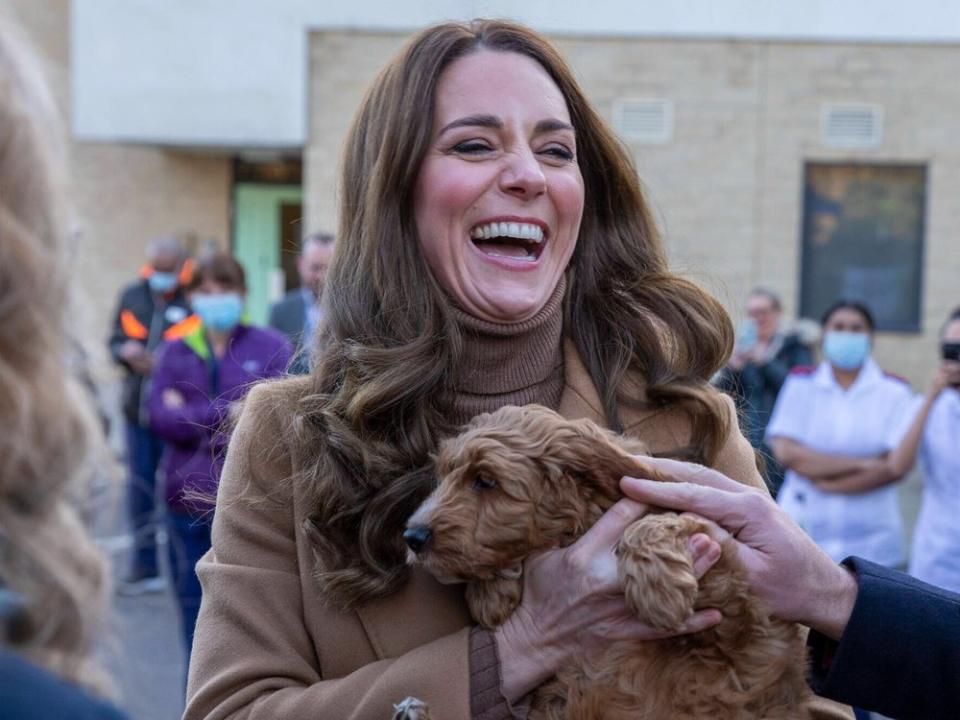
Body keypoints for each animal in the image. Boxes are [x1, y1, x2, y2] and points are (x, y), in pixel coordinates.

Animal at [402, 404, 812, 720]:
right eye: (442, 477)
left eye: (485, 480)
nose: (412, 536)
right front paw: (492, 593)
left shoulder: (738, 614)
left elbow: (655, 522)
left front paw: (660, 593)